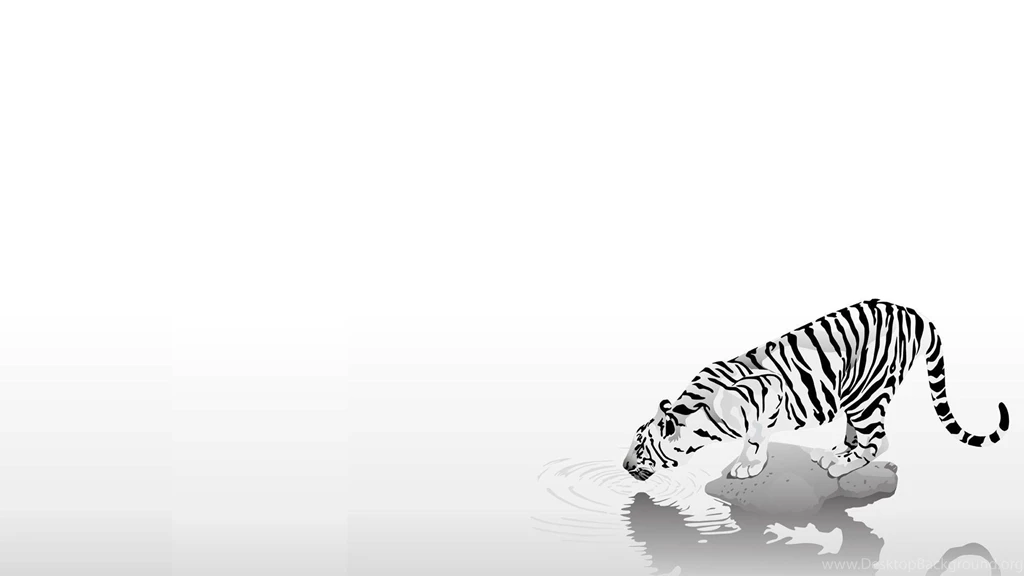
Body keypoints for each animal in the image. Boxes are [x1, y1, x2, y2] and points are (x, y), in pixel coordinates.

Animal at [622, 299, 1010, 480]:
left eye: (640, 446)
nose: (624, 465)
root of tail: (910, 311)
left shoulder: (769, 390)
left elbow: (756, 437)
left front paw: (749, 465)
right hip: (856, 392)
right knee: (860, 433)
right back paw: (836, 451)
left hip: (867, 394)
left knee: (879, 440)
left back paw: (839, 465)